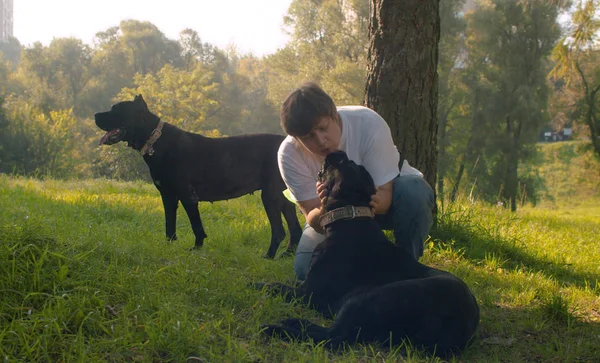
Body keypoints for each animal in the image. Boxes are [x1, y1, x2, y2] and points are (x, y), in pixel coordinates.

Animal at [255, 151, 480, 358]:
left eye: (346, 164)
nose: (337, 152)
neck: (351, 216)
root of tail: (459, 326)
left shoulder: (308, 291)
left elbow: (276, 286)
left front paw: (256, 284)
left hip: (368, 298)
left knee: (334, 337)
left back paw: (279, 328)